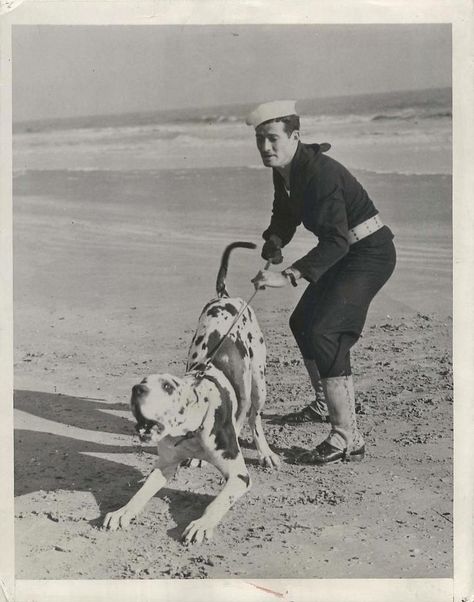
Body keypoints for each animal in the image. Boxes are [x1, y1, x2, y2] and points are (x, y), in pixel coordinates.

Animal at [103, 241, 278, 540]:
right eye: (142, 380)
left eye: (167, 386)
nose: (137, 390)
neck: (191, 429)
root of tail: (226, 297)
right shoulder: (164, 466)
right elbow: (140, 493)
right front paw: (122, 512)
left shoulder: (239, 477)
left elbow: (218, 501)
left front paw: (202, 524)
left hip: (259, 381)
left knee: (254, 417)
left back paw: (265, 452)